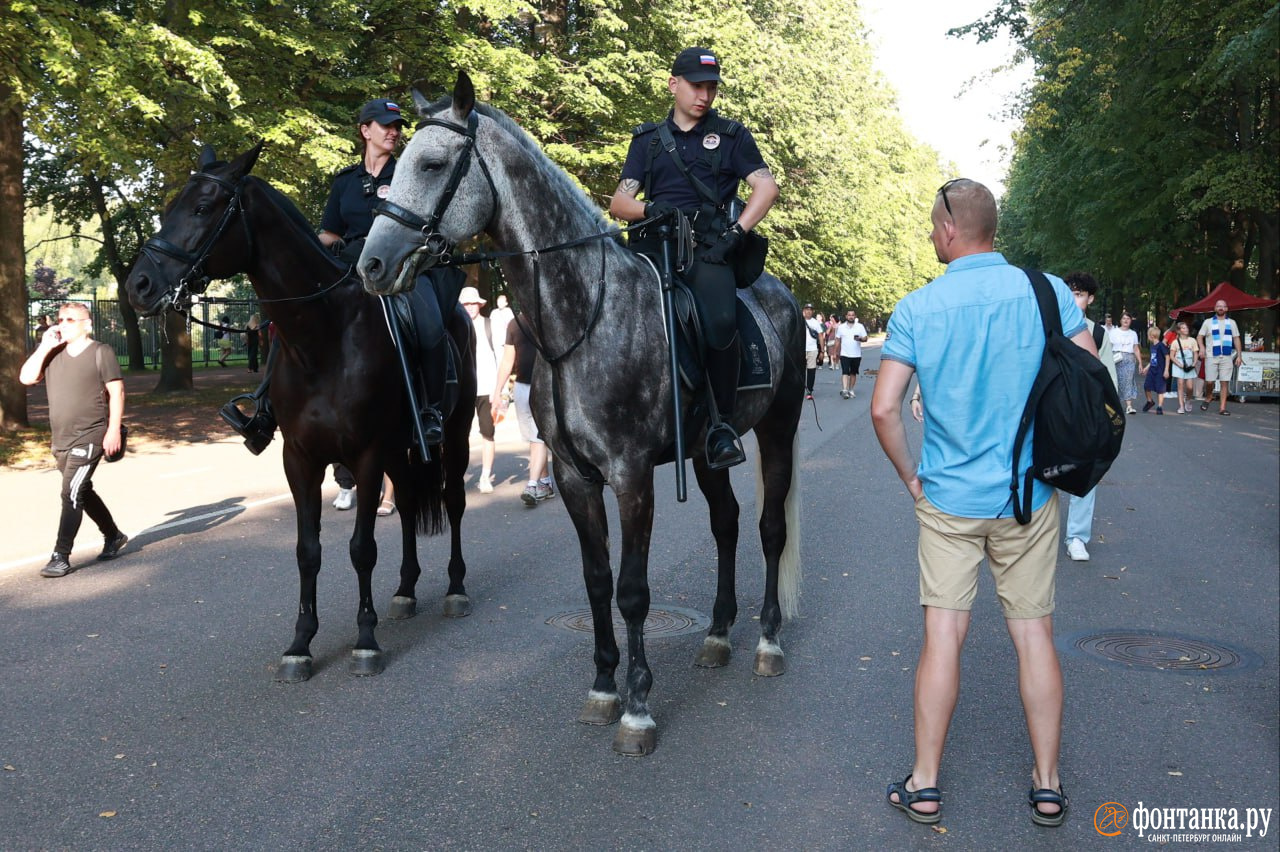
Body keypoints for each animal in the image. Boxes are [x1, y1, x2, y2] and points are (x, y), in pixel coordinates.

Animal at [124, 142, 478, 680]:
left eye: (203, 208)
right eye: (168, 208)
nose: (139, 285)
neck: (323, 337)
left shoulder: (366, 455)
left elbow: (361, 549)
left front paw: (366, 640)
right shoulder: (301, 459)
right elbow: (307, 552)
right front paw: (300, 644)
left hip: (453, 436)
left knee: (453, 501)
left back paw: (455, 589)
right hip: (400, 449)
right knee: (408, 506)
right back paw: (405, 590)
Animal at [358, 71, 798, 752]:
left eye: (430, 164)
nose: (372, 264)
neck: (582, 316)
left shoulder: (632, 474)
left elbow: (633, 590)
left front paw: (638, 708)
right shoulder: (573, 476)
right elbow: (596, 581)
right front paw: (603, 687)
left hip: (779, 429)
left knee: (769, 528)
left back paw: (768, 642)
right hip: (705, 453)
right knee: (725, 523)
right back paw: (718, 634)